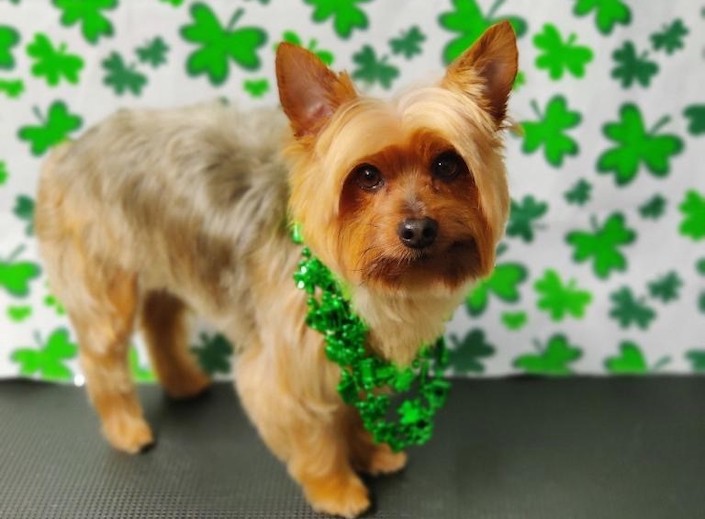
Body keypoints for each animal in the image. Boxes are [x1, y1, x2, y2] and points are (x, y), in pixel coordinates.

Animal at [33, 21, 516, 519]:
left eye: (448, 164)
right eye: (366, 176)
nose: (418, 229)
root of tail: (69, 150)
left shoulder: (355, 357)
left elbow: (352, 412)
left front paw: (371, 453)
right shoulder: (289, 366)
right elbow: (314, 436)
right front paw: (337, 490)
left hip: (168, 258)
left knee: (160, 321)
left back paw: (183, 383)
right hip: (103, 283)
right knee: (102, 358)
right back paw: (126, 428)